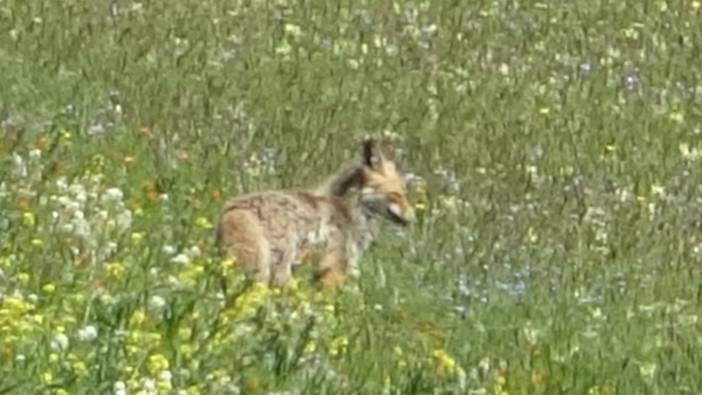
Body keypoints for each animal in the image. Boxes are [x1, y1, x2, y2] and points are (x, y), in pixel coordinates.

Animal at [214, 138, 412, 290]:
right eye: (396, 194)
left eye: (405, 193)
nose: (413, 218)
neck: (349, 210)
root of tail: (231, 209)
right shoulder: (332, 266)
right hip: (279, 267)